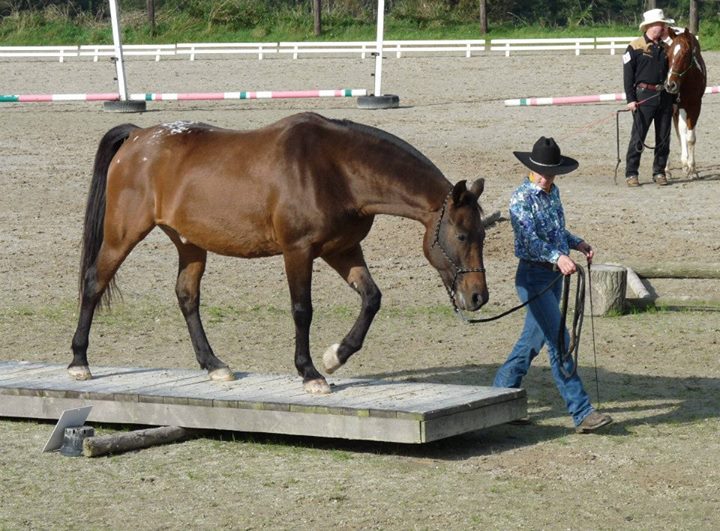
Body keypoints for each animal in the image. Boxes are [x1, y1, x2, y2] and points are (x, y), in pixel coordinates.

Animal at [71, 112, 490, 394]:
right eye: (462, 234)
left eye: (483, 234)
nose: (477, 296)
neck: (336, 168)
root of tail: (138, 136)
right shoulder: (298, 251)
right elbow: (302, 310)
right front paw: (310, 373)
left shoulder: (343, 250)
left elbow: (372, 298)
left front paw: (335, 356)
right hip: (123, 234)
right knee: (94, 283)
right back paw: (79, 361)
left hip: (188, 243)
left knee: (187, 297)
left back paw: (213, 365)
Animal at [664, 27, 708, 179]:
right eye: (668, 54)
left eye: (685, 53)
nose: (670, 85)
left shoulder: (694, 106)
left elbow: (690, 137)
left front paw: (691, 169)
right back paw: (666, 169)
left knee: (681, 130)